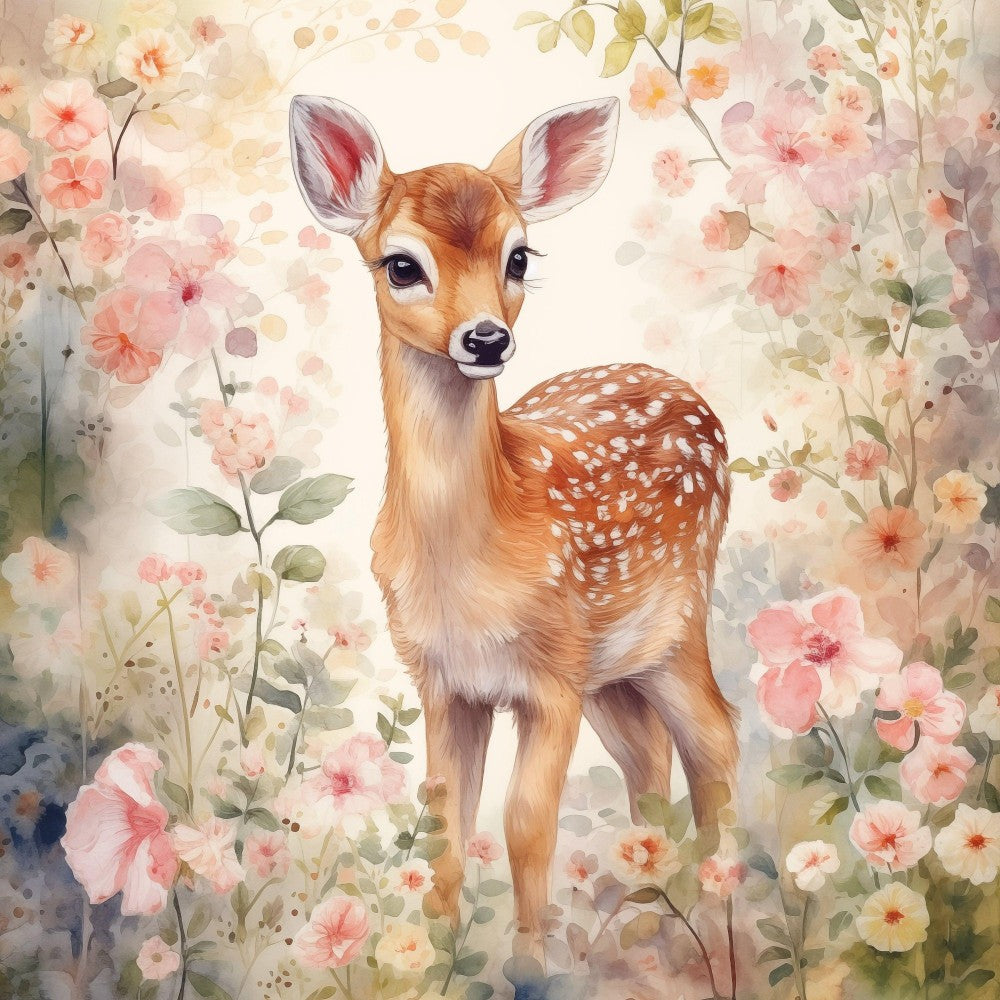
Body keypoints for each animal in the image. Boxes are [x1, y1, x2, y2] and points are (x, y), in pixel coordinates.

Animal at [289, 93, 739, 955]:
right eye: (401, 265)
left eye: (520, 256)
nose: (487, 338)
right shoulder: (441, 678)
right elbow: (444, 821)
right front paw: (437, 957)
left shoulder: (550, 677)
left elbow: (528, 824)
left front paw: (533, 959)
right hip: (611, 665)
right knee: (649, 755)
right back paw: (649, 919)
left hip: (676, 616)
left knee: (716, 739)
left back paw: (716, 915)